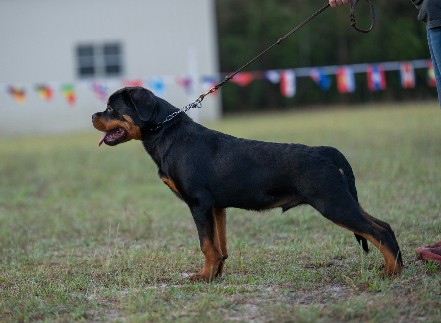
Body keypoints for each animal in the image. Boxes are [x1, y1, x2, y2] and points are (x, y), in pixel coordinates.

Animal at [92, 87, 402, 282]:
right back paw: (395, 267)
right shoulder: (216, 207)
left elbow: (206, 244)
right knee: (384, 225)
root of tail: (327, 151)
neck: (167, 133)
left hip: (332, 202)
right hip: (341, 200)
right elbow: (219, 246)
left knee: (377, 231)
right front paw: (215, 275)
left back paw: (391, 273)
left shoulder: (198, 203)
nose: (93, 116)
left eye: (110, 108)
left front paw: (202, 277)